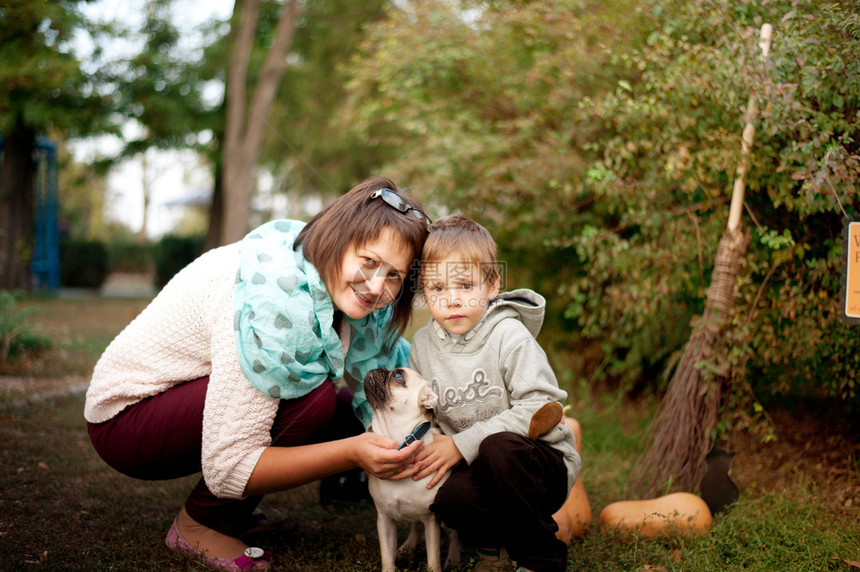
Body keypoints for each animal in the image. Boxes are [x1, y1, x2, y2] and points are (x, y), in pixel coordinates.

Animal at [362, 366, 460, 572]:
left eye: (398, 375)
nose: (379, 368)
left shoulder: (431, 520)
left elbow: (433, 560)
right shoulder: (385, 521)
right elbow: (387, 558)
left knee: (455, 535)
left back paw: (453, 560)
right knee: (416, 526)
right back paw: (408, 548)